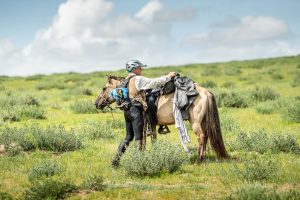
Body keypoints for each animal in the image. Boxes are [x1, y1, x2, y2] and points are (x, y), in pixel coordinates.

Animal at [95, 75, 229, 162]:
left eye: (103, 88)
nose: (96, 103)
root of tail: (206, 92)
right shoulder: (152, 125)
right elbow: (152, 140)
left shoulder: (144, 125)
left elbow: (142, 141)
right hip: (204, 121)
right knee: (205, 137)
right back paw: (203, 157)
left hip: (195, 122)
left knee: (201, 137)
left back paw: (198, 160)